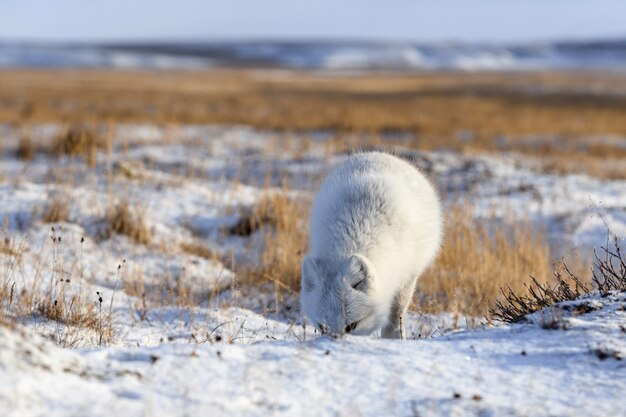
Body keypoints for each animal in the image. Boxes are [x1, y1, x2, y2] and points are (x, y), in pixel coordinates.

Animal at [302, 152, 438, 338]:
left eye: (351, 326)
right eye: (322, 327)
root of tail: (378, 154)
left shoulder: (406, 277)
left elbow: (396, 314)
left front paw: (393, 338)